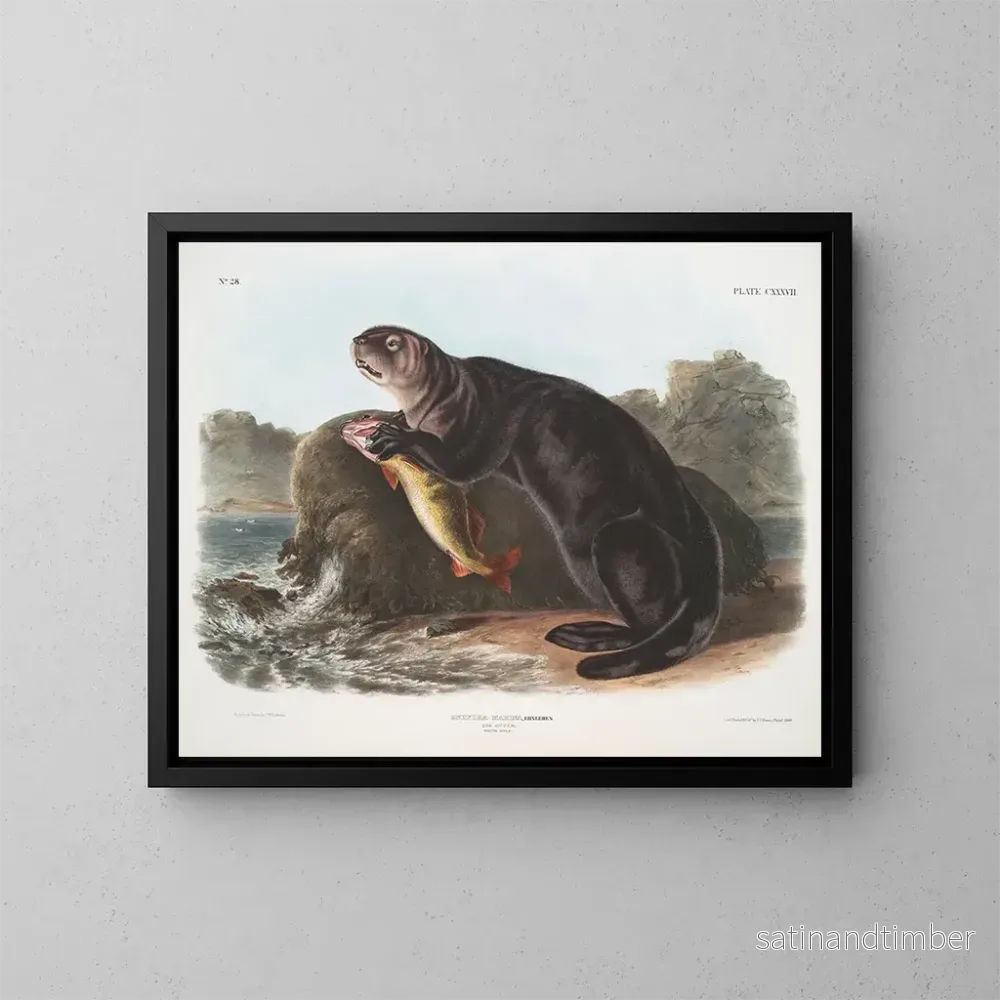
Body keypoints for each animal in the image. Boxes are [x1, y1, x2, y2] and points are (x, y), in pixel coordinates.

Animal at [351, 325, 723, 679]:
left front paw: (395, 435)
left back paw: (587, 635)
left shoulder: (489, 418)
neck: (453, 394)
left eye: (393, 343)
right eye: (371, 331)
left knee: (648, 622)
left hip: (621, 541)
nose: (358, 340)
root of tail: (707, 568)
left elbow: (462, 465)